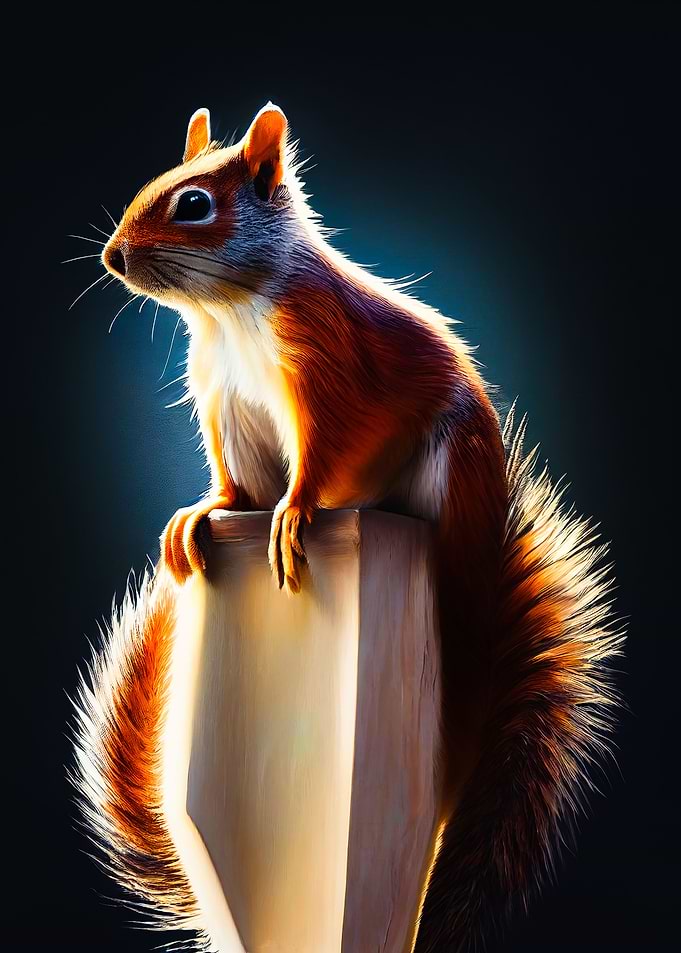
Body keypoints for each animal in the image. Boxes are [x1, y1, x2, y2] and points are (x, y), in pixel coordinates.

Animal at [71, 103, 624, 952]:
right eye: (153, 184)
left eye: (194, 204)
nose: (114, 257)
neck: (228, 311)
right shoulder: (224, 401)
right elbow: (235, 480)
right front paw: (202, 512)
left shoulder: (326, 366)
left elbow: (320, 456)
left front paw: (295, 512)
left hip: (447, 487)